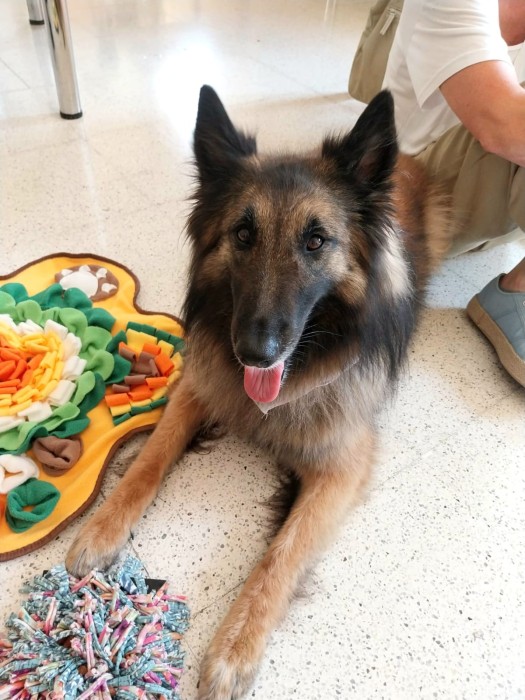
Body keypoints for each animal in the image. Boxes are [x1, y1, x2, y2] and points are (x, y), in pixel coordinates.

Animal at [66, 86, 452, 700]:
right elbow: (148, 462)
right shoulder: (201, 385)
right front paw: (101, 529)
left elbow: (281, 554)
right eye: (243, 235)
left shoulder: (342, 465)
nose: (255, 352)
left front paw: (234, 648)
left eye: (316, 240)